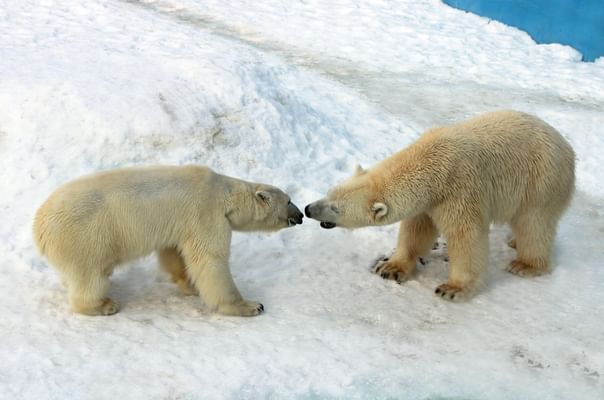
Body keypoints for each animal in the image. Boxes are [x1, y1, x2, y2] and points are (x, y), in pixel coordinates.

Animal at [33, 165, 304, 316]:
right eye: (289, 200)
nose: (301, 215)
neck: (223, 192)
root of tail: (39, 226)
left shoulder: (183, 223)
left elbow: (175, 253)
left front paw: (190, 285)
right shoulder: (206, 212)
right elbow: (210, 259)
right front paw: (250, 306)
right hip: (85, 236)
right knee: (91, 275)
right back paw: (103, 305)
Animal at [306, 109, 576, 300]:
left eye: (336, 208)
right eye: (329, 193)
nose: (309, 209)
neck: (431, 161)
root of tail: (566, 146)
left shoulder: (460, 189)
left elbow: (466, 236)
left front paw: (452, 288)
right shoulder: (430, 200)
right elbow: (416, 229)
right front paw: (391, 267)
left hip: (541, 179)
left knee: (534, 223)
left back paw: (525, 264)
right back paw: (513, 241)